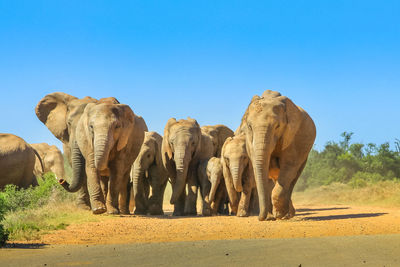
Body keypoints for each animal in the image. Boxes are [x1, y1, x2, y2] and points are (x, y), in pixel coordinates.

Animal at [238, 91, 316, 221]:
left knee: (292, 178)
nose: (260, 218)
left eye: (277, 126)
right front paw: (271, 217)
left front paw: (278, 214)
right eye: (249, 126)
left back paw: (287, 215)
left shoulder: (292, 137)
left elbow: (288, 166)